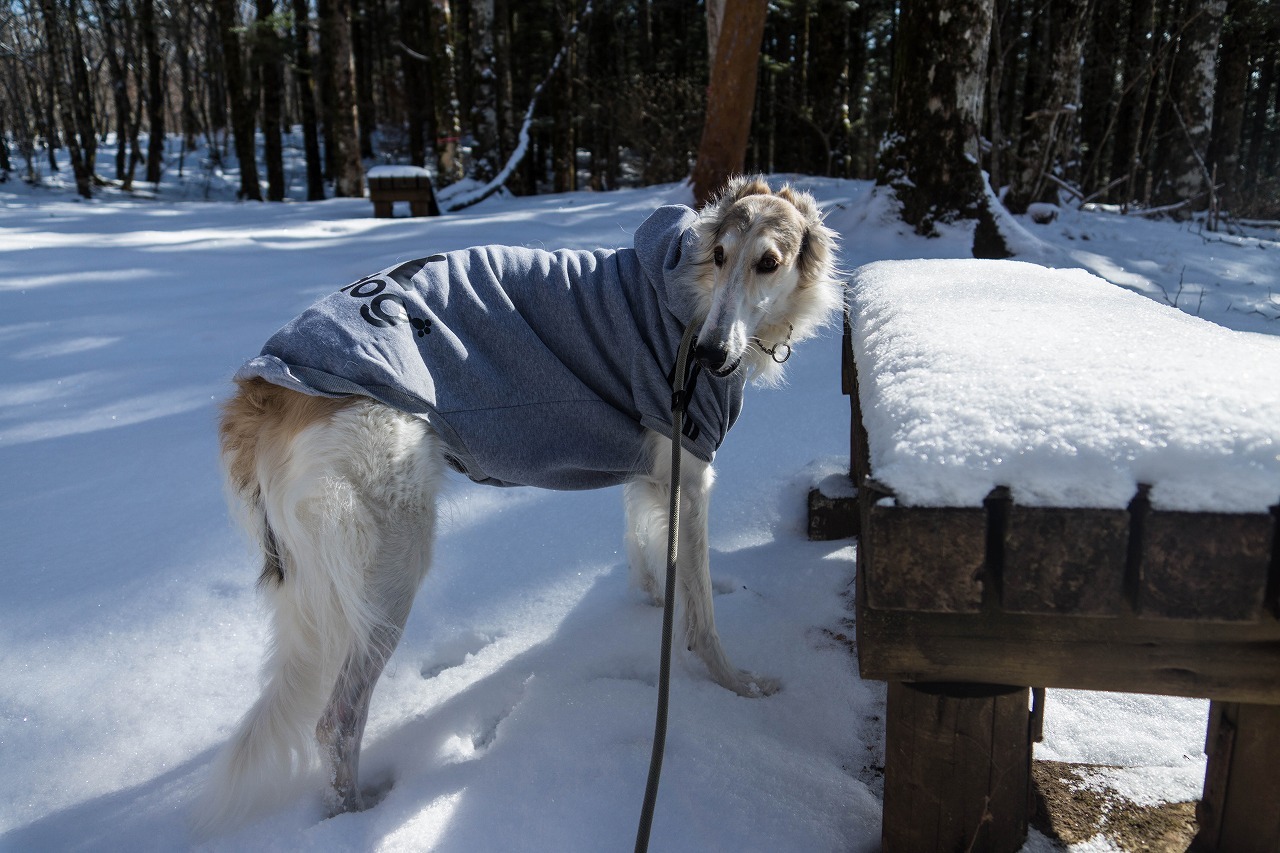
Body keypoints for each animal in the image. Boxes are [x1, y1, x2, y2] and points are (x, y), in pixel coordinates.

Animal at [197, 174, 839, 829]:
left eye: (768, 262)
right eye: (721, 254)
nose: (709, 356)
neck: (688, 299)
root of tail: (262, 387)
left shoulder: (652, 471)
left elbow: (646, 550)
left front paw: (653, 604)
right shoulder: (690, 470)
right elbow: (704, 612)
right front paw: (735, 686)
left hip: (318, 582)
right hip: (390, 564)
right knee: (335, 723)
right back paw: (356, 820)